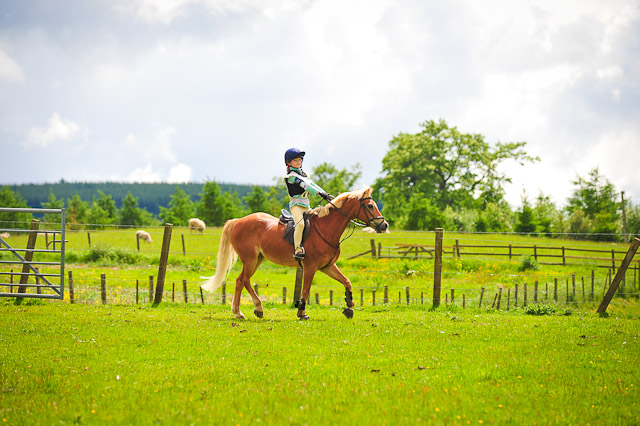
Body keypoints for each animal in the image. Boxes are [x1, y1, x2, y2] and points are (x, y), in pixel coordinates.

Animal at [202, 187, 388, 320]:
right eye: (370, 206)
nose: (384, 225)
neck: (326, 229)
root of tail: (238, 221)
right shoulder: (311, 267)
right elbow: (305, 290)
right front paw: (302, 312)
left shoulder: (327, 266)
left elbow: (347, 282)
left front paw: (349, 306)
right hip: (250, 259)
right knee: (243, 280)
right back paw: (248, 310)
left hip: (257, 259)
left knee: (242, 280)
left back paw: (246, 310)